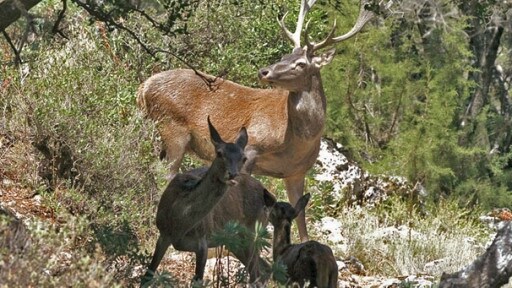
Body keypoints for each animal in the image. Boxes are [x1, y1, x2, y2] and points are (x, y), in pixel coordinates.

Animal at [136, 0, 384, 243]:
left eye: (301, 63)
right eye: (284, 56)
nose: (264, 71)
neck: (295, 140)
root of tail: (144, 87)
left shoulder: (296, 172)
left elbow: (301, 217)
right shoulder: (252, 146)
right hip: (173, 128)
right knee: (165, 173)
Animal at [140, 117, 276, 286]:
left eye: (243, 158)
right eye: (219, 153)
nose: (233, 175)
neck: (179, 221)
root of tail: (268, 196)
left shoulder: (203, 242)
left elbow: (198, 281)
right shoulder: (163, 234)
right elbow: (147, 276)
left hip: (253, 233)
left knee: (257, 273)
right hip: (237, 241)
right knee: (263, 269)